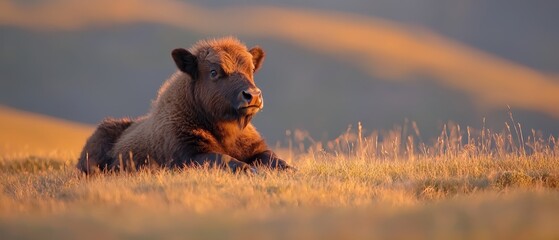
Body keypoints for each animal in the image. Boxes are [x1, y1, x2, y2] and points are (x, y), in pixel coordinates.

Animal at [77, 36, 294, 173]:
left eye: (250, 70)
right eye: (213, 72)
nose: (253, 96)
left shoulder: (256, 149)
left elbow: (274, 159)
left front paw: (291, 169)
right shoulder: (191, 154)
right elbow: (225, 159)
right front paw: (251, 170)